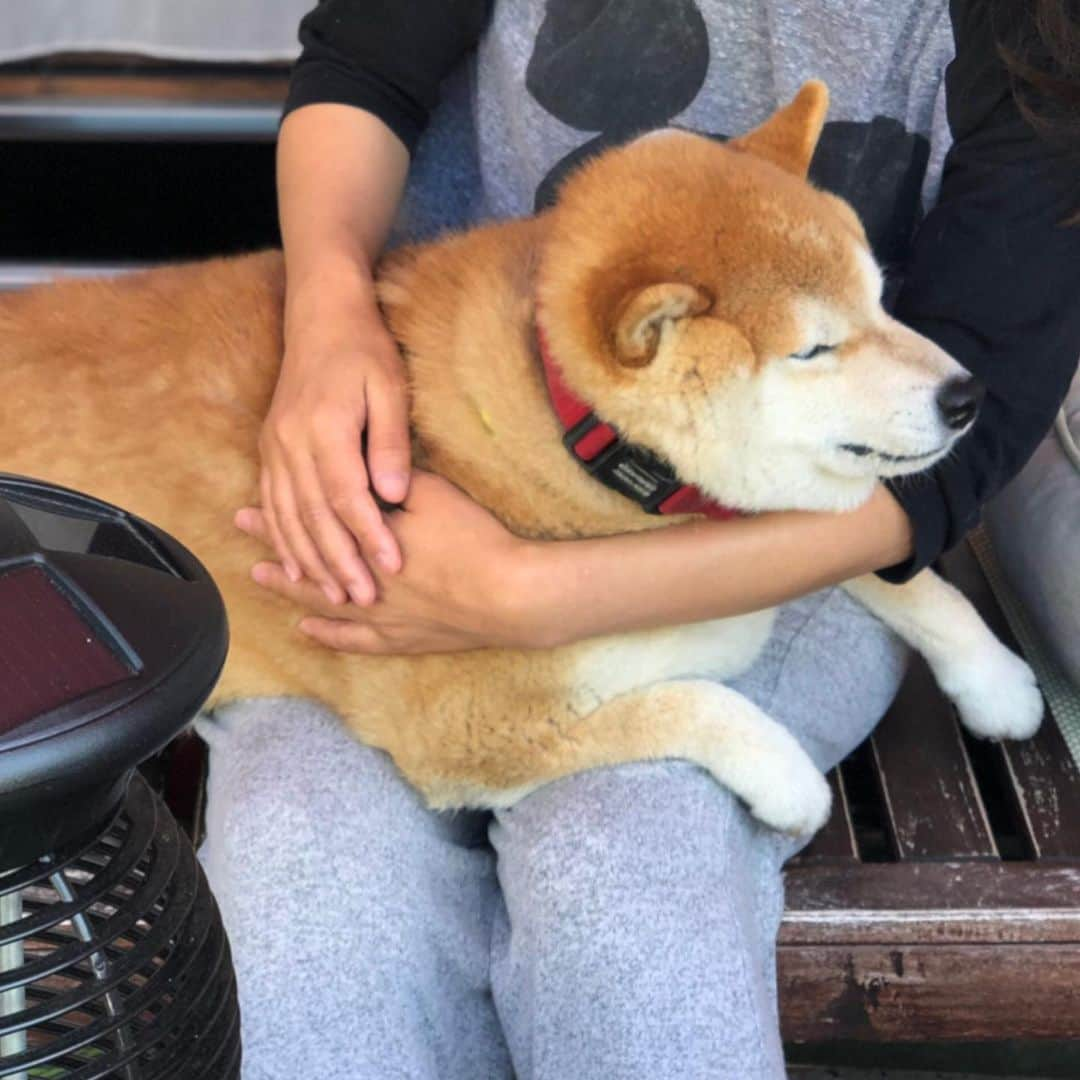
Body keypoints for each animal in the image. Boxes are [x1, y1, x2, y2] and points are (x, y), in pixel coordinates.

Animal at [0, 82, 1045, 833]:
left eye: (881, 300)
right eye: (815, 349)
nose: (971, 397)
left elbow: (897, 568)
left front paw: (993, 676)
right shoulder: (470, 732)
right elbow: (697, 704)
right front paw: (789, 779)